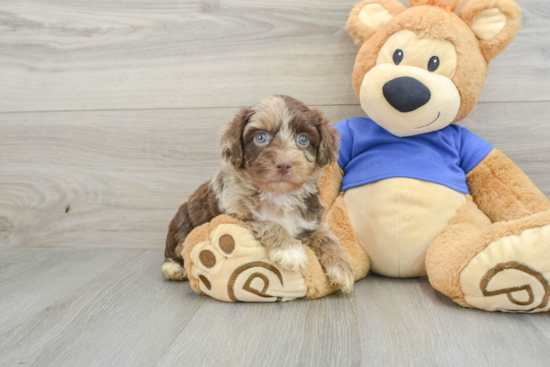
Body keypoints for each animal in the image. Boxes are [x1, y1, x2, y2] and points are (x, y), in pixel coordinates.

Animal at [162, 96, 356, 292]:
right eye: (260, 137)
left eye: (303, 139)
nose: (284, 164)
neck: (279, 195)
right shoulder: (236, 217)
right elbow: (269, 223)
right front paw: (290, 250)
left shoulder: (312, 219)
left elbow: (327, 237)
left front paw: (342, 268)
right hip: (181, 224)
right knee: (176, 249)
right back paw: (173, 268)